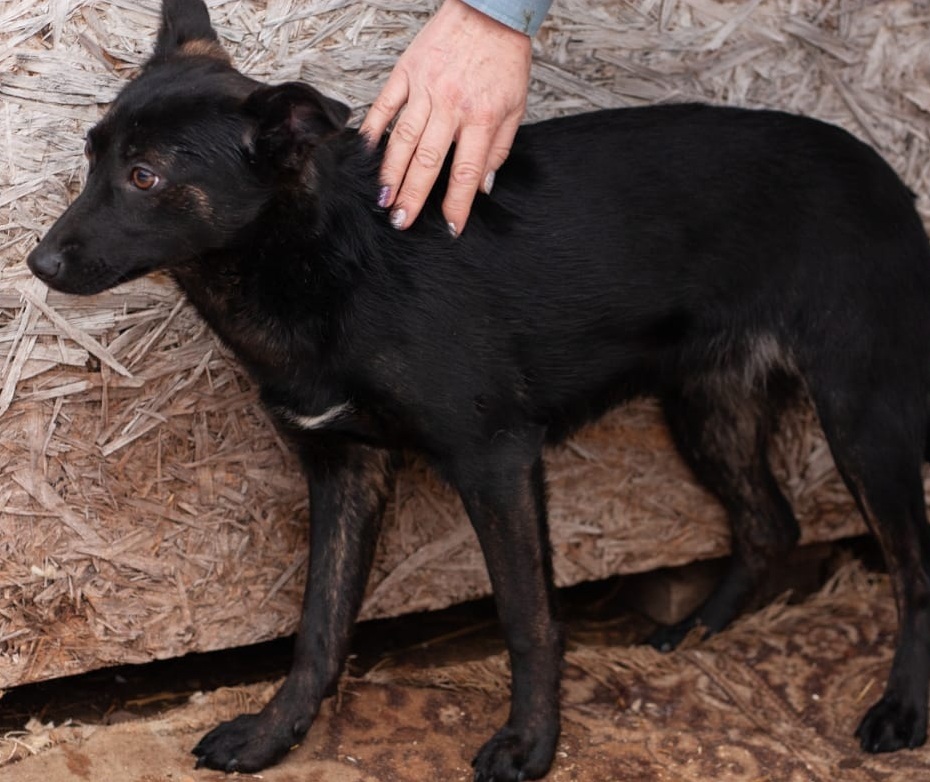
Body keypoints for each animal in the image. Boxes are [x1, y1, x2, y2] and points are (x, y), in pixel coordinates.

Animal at [25, 1, 928, 782]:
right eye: (91, 156)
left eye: (145, 176)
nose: (38, 262)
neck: (317, 259)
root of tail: (882, 169)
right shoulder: (345, 469)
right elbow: (319, 627)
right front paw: (274, 736)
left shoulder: (495, 459)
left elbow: (527, 619)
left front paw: (531, 744)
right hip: (710, 408)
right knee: (770, 523)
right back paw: (699, 629)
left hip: (862, 414)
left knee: (911, 564)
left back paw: (901, 710)